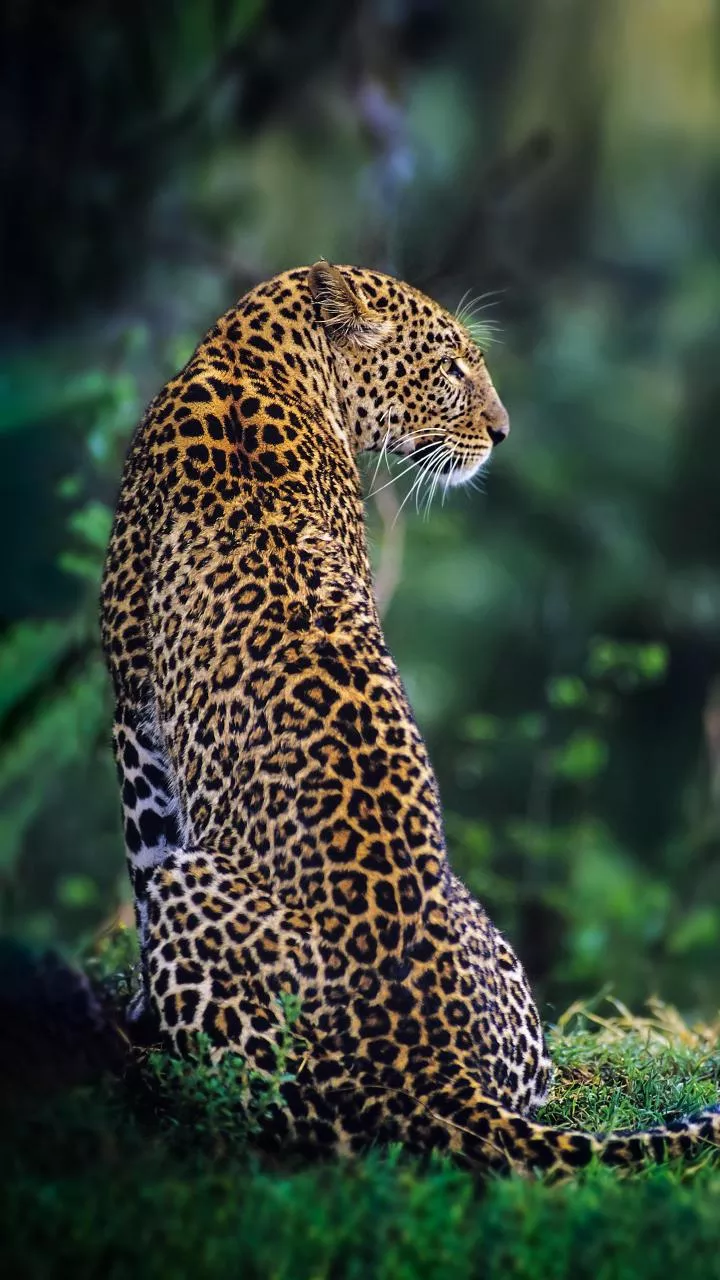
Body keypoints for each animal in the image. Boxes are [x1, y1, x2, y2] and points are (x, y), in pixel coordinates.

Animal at [101, 261, 719, 1175]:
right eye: (452, 367)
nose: (503, 433)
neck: (251, 361)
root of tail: (433, 1065)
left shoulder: (133, 707)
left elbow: (143, 849)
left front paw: (138, 1008)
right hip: (494, 960)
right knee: (535, 1076)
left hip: (205, 905)